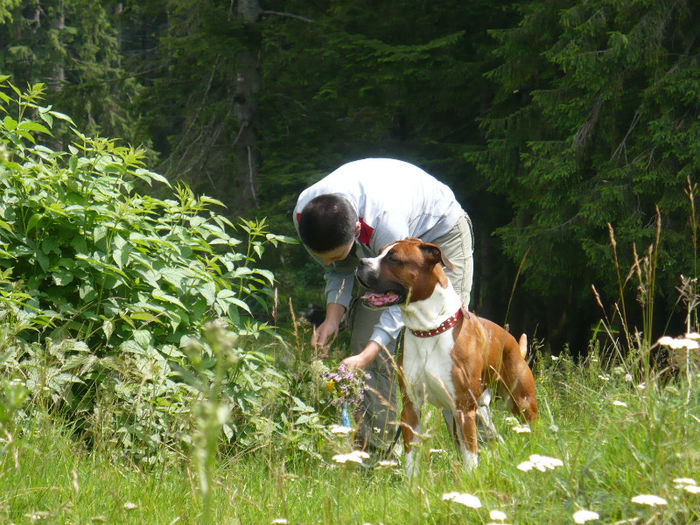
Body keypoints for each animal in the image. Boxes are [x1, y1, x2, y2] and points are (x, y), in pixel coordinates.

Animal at [358, 237, 540, 470]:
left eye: (394, 258)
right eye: (379, 252)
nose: (361, 263)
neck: (428, 329)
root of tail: (513, 343)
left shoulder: (464, 410)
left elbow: (471, 458)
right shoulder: (411, 407)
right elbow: (411, 459)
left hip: (522, 403)